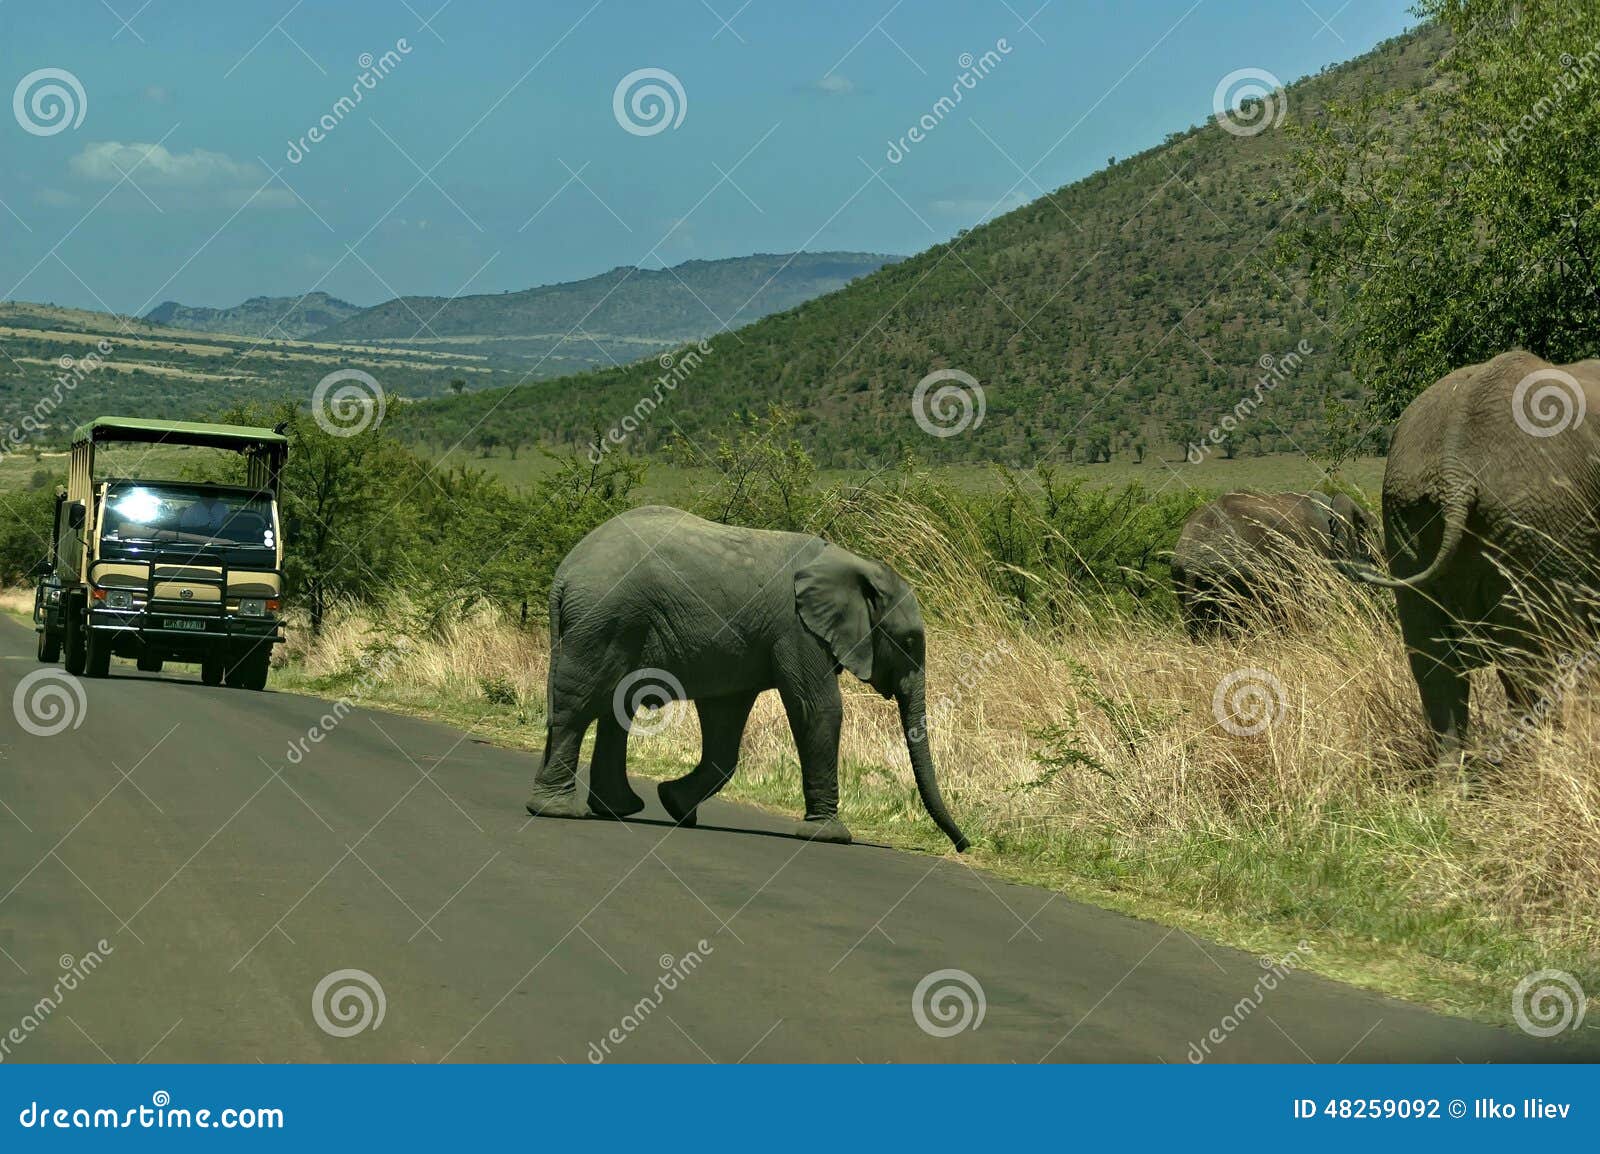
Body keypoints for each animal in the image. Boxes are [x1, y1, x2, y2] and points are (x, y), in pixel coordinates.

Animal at [531, 499, 966, 851]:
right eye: (909, 641)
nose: (964, 844)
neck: (853, 562)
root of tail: (564, 575)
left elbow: (725, 724)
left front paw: (675, 804)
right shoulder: (798, 630)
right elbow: (817, 708)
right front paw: (830, 836)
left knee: (613, 706)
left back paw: (615, 808)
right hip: (606, 619)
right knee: (580, 704)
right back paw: (557, 810)